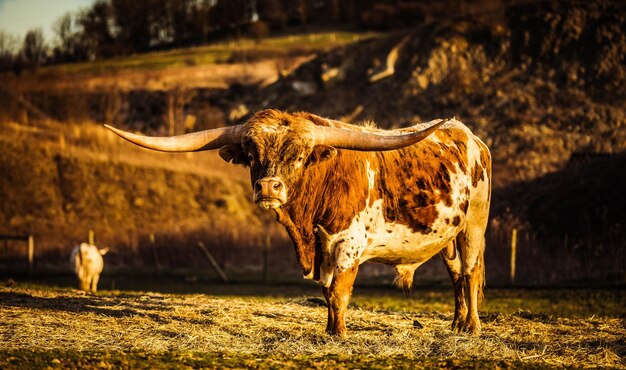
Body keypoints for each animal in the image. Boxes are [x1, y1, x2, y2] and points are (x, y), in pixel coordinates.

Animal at [106, 108, 488, 336]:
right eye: (251, 155)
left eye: (300, 156)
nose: (268, 187)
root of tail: (470, 137)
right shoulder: (322, 250)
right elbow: (326, 292)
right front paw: (329, 331)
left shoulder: (347, 245)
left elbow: (339, 293)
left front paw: (339, 334)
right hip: (447, 236)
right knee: (456, 274)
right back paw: (456, 324)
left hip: (473, 226)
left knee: (470, 274)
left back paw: (471, 326)